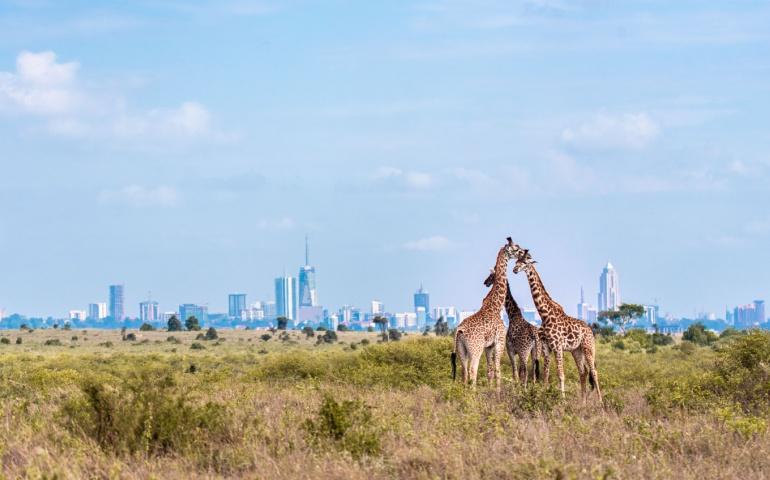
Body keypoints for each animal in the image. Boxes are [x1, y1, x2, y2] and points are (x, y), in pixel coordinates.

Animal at [451, 238, 517, 390]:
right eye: (515, 248)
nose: (485, 282)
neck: (495, 306)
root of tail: (459, 330)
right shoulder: (499, 341)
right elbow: (498, 369)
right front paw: (498, 392)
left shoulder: (488, 346)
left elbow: (489, 370)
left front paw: (490, 389)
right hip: (476, 349)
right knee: (472, 370)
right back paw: (473, 394)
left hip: (461, 349)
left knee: (464, 371)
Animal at [511, 249, 602, 402]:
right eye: (516, 261)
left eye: (525, 261)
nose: (515, 270)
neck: (544, 315)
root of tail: (590, 330)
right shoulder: (546, 347)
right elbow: (546, 374)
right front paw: (543, 396)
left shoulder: (558, 346)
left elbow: (561, 375)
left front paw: (562, 400)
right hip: (576, 350)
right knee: (583, 372)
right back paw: (583, 402)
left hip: (588, 347)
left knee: (594, 372)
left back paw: (601, 402)